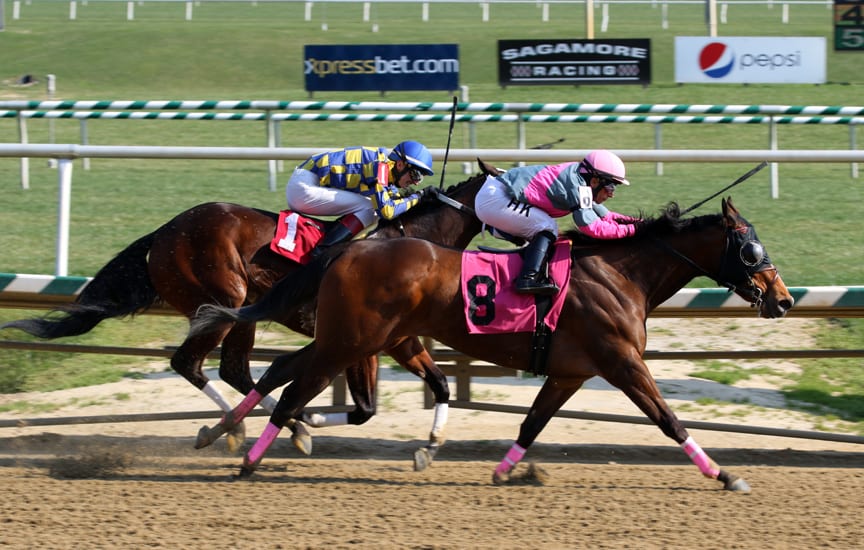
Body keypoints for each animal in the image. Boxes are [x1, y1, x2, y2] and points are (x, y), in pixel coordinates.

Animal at [192, 198, 792, 492]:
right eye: (751, 248)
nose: (783, 300)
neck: (622, 273)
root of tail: (349, 249)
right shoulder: (623, 363)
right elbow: (669, 421)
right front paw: (725, 476)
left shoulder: (570, 371)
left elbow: (532, 424)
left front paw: (507, 471)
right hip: (351, 341)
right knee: (293, 391)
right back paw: (251, 457)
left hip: (354, 338)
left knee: (282, 375)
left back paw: (239, 435)